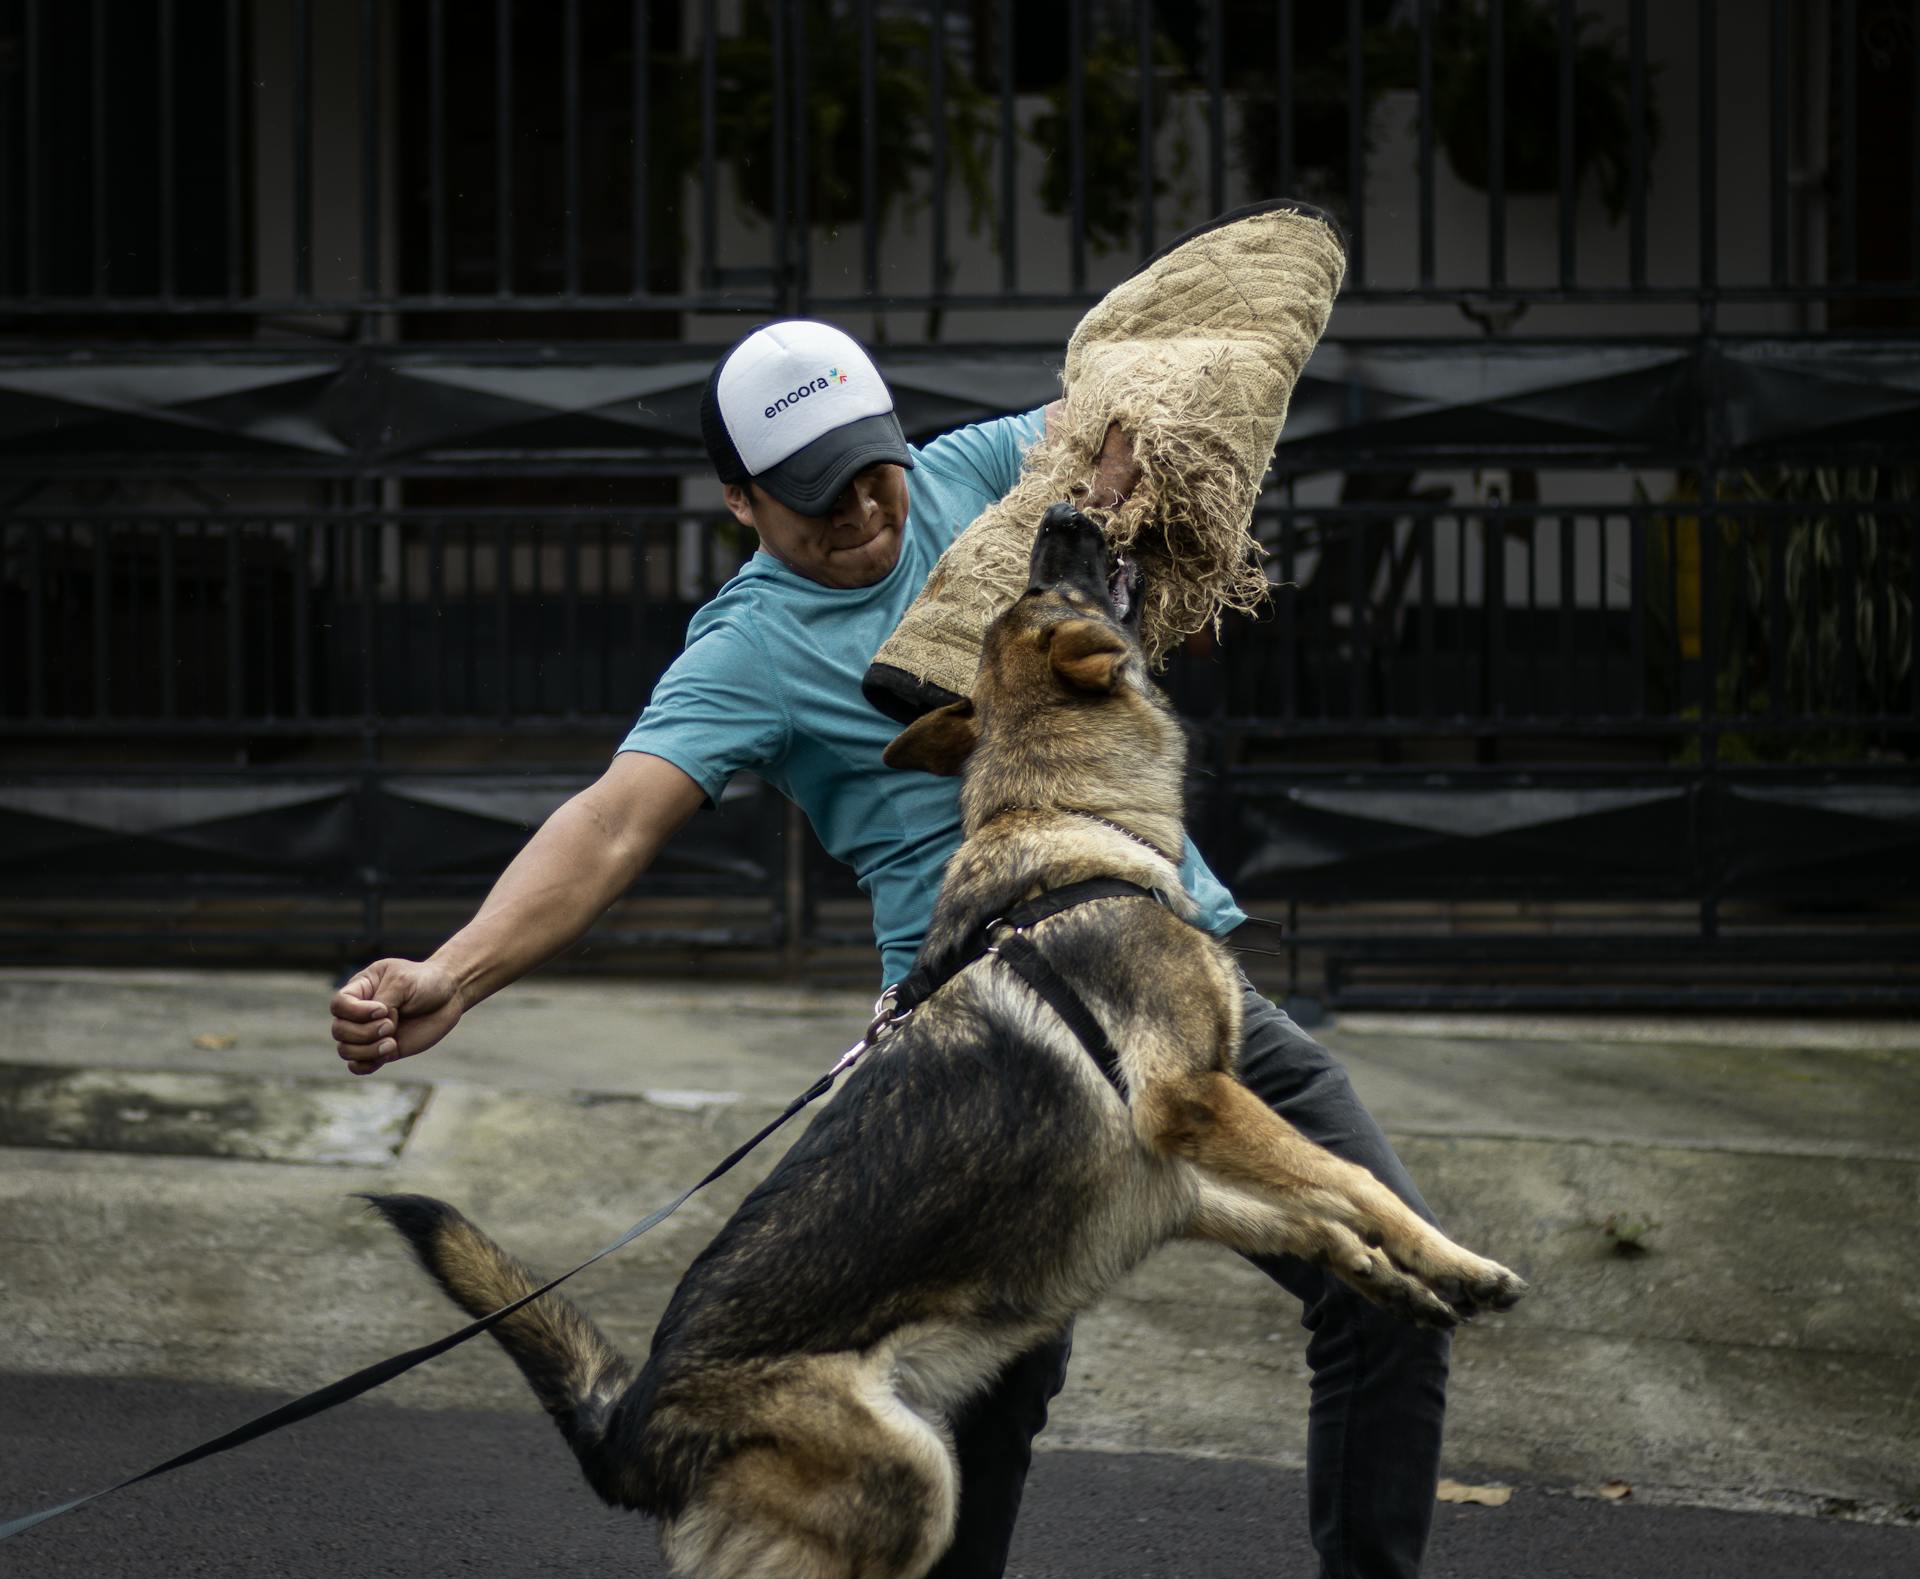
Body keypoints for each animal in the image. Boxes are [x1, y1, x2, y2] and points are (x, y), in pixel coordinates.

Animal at [366, 503, 1520, 1579]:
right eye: (1051, 584)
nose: (1065, 511)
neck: (1062, 816)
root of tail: (634, 1427)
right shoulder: (1189, 1101)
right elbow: (1350, 1179)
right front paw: (1461, 1258)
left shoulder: (1170, 1180)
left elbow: (1312, 1209)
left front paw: (1396, 1277)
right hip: (917, 1477)